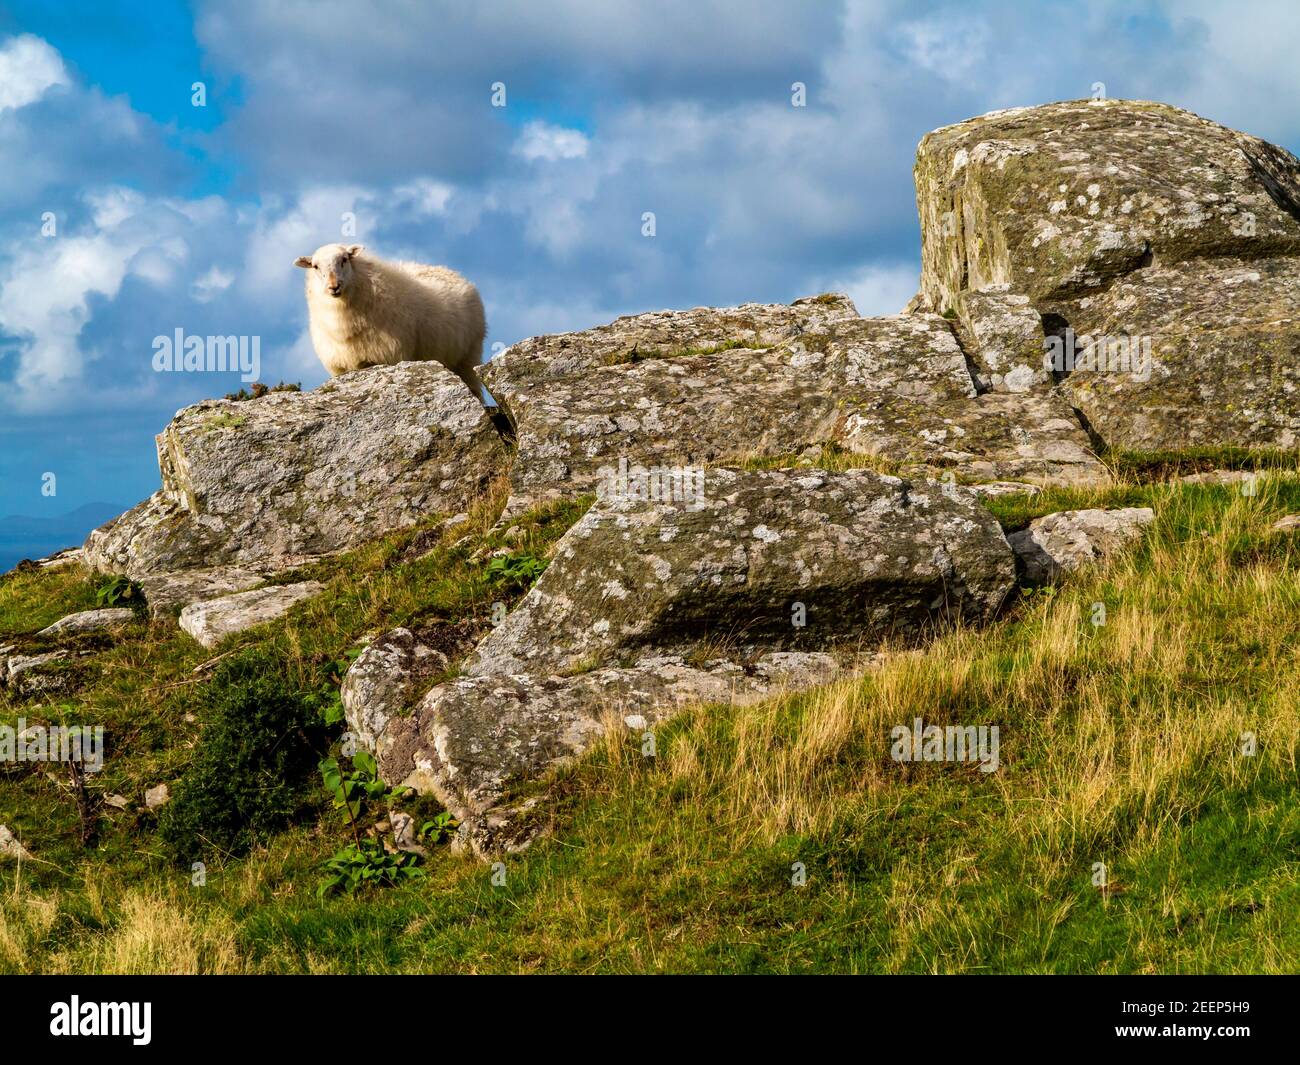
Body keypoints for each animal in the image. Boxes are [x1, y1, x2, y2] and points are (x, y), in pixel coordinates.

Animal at [294, 243, 514, 440]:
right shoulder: (341, 368)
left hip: (468, 355)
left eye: (345, 259)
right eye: (315, 266)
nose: (334, 287)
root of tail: (450, 270)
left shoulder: (390, 358)